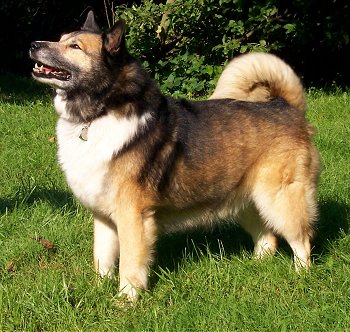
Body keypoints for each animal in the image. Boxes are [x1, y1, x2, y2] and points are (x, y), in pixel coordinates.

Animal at [30, 11, 320, 300]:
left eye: (75, 47)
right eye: (61, 38)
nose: (33, 44)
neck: (99, 114)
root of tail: (287, 106)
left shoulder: (133, 216)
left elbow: (129, 264)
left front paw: (125, 301)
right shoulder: (104, 217)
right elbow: (102, 258)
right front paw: (99, 289)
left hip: (280, 199)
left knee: (301, 241)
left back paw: (301, 277)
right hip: (247, 200)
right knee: (267, 238)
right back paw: (256, 267)